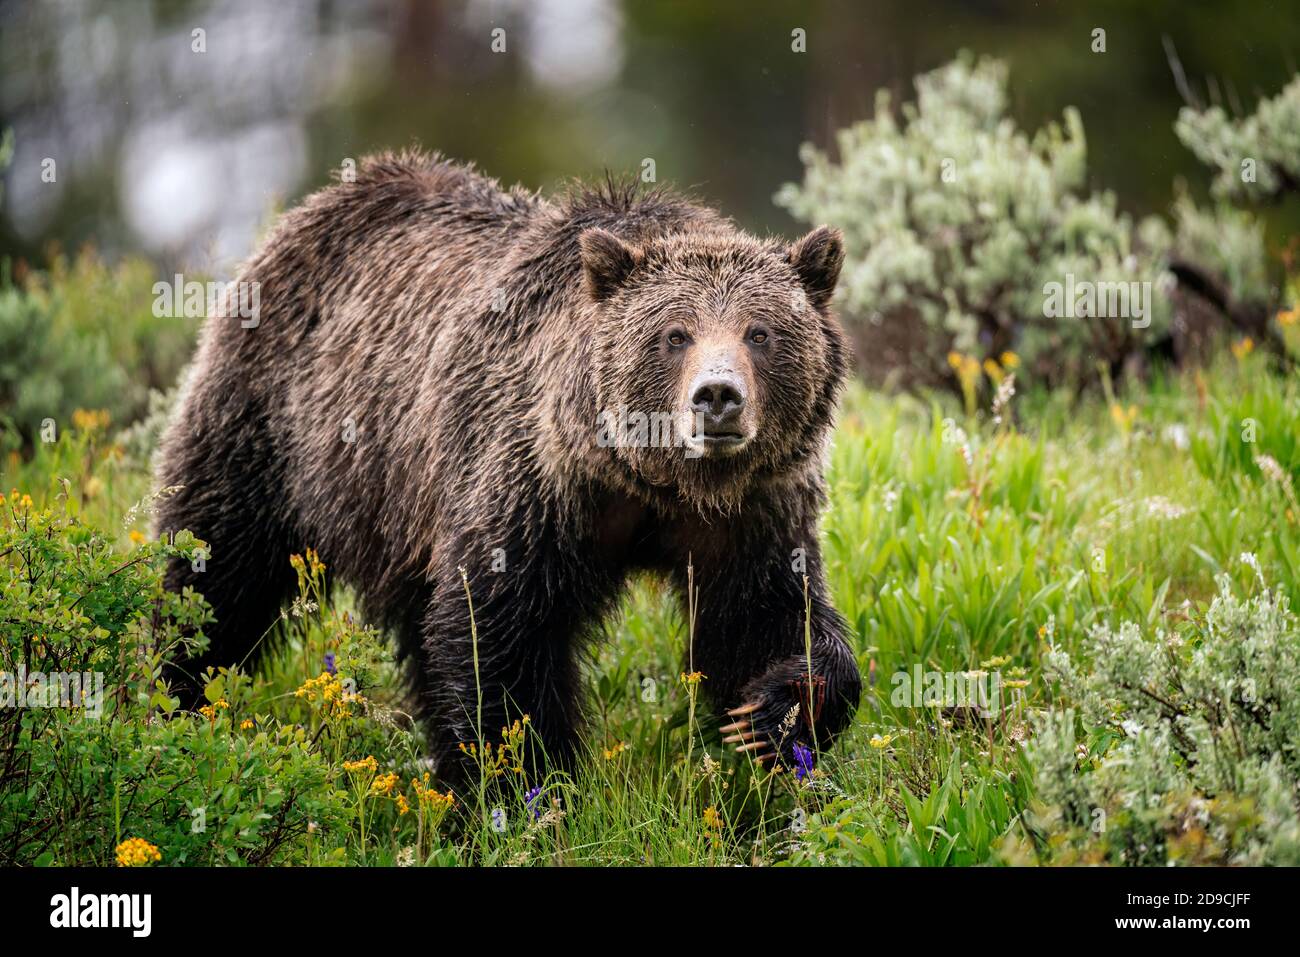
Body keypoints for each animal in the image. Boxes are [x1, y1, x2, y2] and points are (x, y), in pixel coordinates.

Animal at [154, 149, 863, 790]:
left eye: (760, 332)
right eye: (674, 334)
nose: (717, 396)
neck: (651, 482)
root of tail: (324, 201)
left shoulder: (750, 511)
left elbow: (769, 612)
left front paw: (771, 713)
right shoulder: (529, 485)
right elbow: (496, 634)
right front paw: (529, 782)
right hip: (272, 424)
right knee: (217, 569)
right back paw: (177, 696)